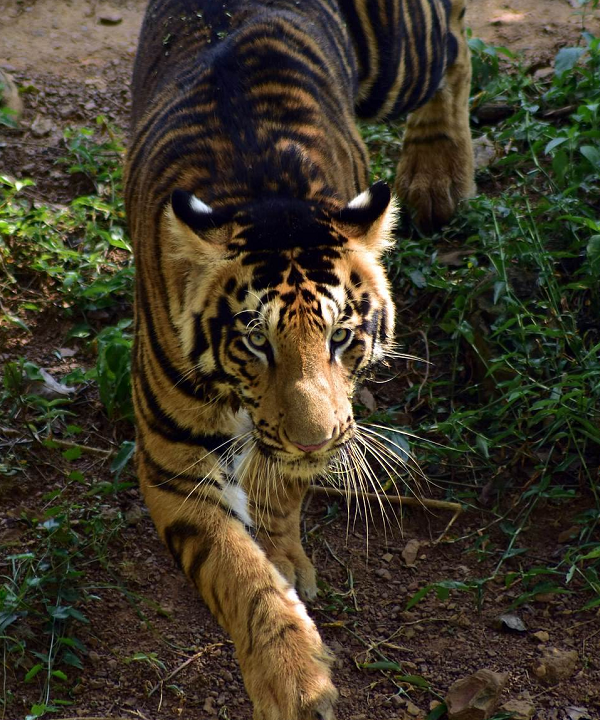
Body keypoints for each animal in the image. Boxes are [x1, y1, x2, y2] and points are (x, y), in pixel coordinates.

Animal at [125, 0, 474, 716]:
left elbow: (281, 489)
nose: (317, 442)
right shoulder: (173, 463)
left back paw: (436, 173)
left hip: (403, 60)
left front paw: (285, 555)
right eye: (256, 340)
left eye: (341, 336)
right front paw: (293, 679)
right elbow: (238, 572)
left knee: (456, 42)